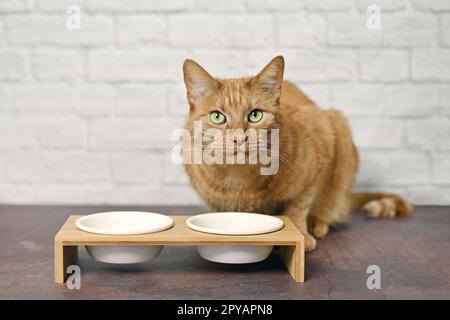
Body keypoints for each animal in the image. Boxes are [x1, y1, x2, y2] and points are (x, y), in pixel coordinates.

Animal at [181, 56, 414, 251]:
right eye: (218, 117)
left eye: (255, 115)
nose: (239, 138)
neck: (240, 179)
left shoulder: (317, 153)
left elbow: (298, 207)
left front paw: (302, 234)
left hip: (338, 131)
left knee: (331, 205)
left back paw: (318, 223)